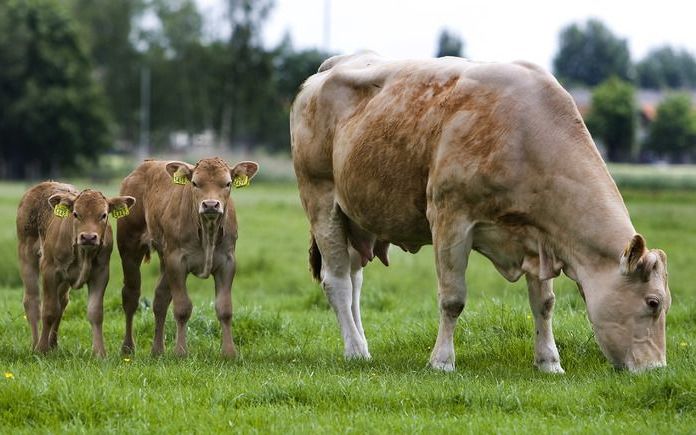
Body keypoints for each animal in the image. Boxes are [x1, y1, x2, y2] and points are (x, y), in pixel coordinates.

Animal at [17, 182, 136, 356]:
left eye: (103, 215)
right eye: (75, 214)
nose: (88, 237)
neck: (83, 254)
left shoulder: (100, 274)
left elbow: (95, 312)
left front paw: (100, 352)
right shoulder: (49, 271)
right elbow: (49, 311)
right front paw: (41, 349)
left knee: (62, 302)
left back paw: (53, 344)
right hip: (26, 255)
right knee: (32, 301)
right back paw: (35, 343)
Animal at [118, 158, 260, 358]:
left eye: (227, 183)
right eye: (195, 183)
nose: (210, 205)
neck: (207, 231)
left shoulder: (227, 262)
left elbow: (224, 308)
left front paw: (229, 352)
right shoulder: (177, 261)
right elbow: (182, 308)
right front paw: (180, 352)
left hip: (164, 257)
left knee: (160, 299)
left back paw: (158, 350)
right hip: (129, 245)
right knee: (131, 296)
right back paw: (128, 347)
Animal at [290, 52, 672, 372]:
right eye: (653, 302)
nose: (656, 369)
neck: (525, 135)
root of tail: (332, 66)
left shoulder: (537, 234)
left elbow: (544, 303)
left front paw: (549, 362)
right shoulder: (450, 218)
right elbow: (452, 299)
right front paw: (442, 362)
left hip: (356, 217)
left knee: (354, 279)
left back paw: (362, 344)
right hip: (321, 200)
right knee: (337, 281)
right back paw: (355, 349)